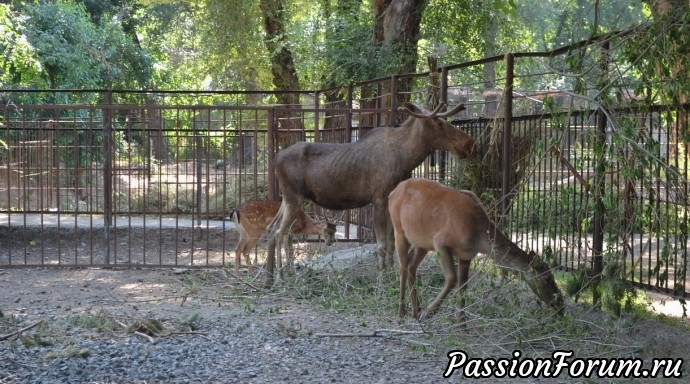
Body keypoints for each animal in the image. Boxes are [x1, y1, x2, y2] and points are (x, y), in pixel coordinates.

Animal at [264, 102, 472, 284]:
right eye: (439, 122)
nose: (468, 143)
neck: (406, 158)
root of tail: (275, 159)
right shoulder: (378, 198)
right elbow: (381, 244)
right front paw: (380, 279)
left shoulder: (390, 201)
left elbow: (391, 242)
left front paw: (392, 274)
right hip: (294, 197)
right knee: (280, 232)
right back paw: (280, 277)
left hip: (287, 199)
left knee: (272, 228)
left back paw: (270, 277)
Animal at [388, 178, 564, 320]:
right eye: (547, 277)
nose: (561, 304)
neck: (477, 238)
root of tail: (391, 193)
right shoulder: (440, 242)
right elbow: (452, 278)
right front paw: (430, 312)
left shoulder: (466, 255)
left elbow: (463, 286)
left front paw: (461, 322)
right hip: (399, 229)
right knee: (403, 266)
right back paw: (402, 312)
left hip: (421, 242)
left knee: (411, 265)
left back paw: (416, 310)